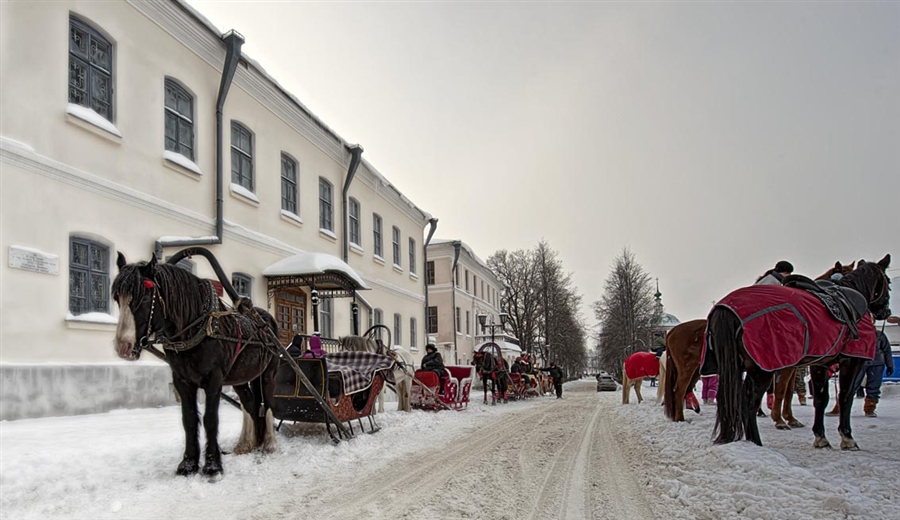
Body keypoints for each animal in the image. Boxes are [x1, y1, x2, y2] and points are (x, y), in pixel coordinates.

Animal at [114, 252, 280, 476]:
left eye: (146, 296)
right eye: (117, 298)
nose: (123, 346)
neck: (197, 328)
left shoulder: (214, 380)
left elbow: (210, 419)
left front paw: (212, 464)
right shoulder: (182, 381)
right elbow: (189, 419)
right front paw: (188, 463)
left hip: (268, 374)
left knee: (268, 404)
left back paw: (270, 443)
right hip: (240, 378)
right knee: (251, 405)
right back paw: (246, 444)